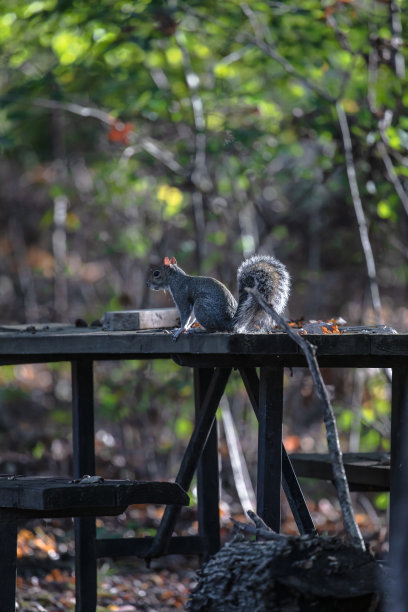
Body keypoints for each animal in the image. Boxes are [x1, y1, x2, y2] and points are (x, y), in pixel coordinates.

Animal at [147, 253, 290, 340]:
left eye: (156, 273)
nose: (148, 284)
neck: (175, 280)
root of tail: (228, 323)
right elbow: (190, 318)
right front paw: (183, 329)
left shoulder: (181, 296)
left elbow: (185, 315)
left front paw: (180, 330)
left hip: (201, 307)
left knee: (214, 329)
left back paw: (200, 331)